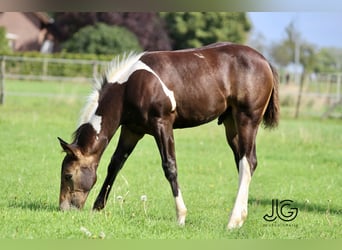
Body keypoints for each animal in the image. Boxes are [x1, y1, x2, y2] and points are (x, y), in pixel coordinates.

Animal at [58, 42, 278, 229]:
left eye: (68, 175)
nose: (64, 209)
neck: (130, 86)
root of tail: (265, 61)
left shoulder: (162, 124)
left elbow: (170, 166)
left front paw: (181, 215)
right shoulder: (132, 130)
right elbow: (115, 164)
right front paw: (97, 208)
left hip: (247, 120)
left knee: (247, 162)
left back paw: (233, 221)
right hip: (231, 124)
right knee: (244, 163)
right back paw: (239, 218)